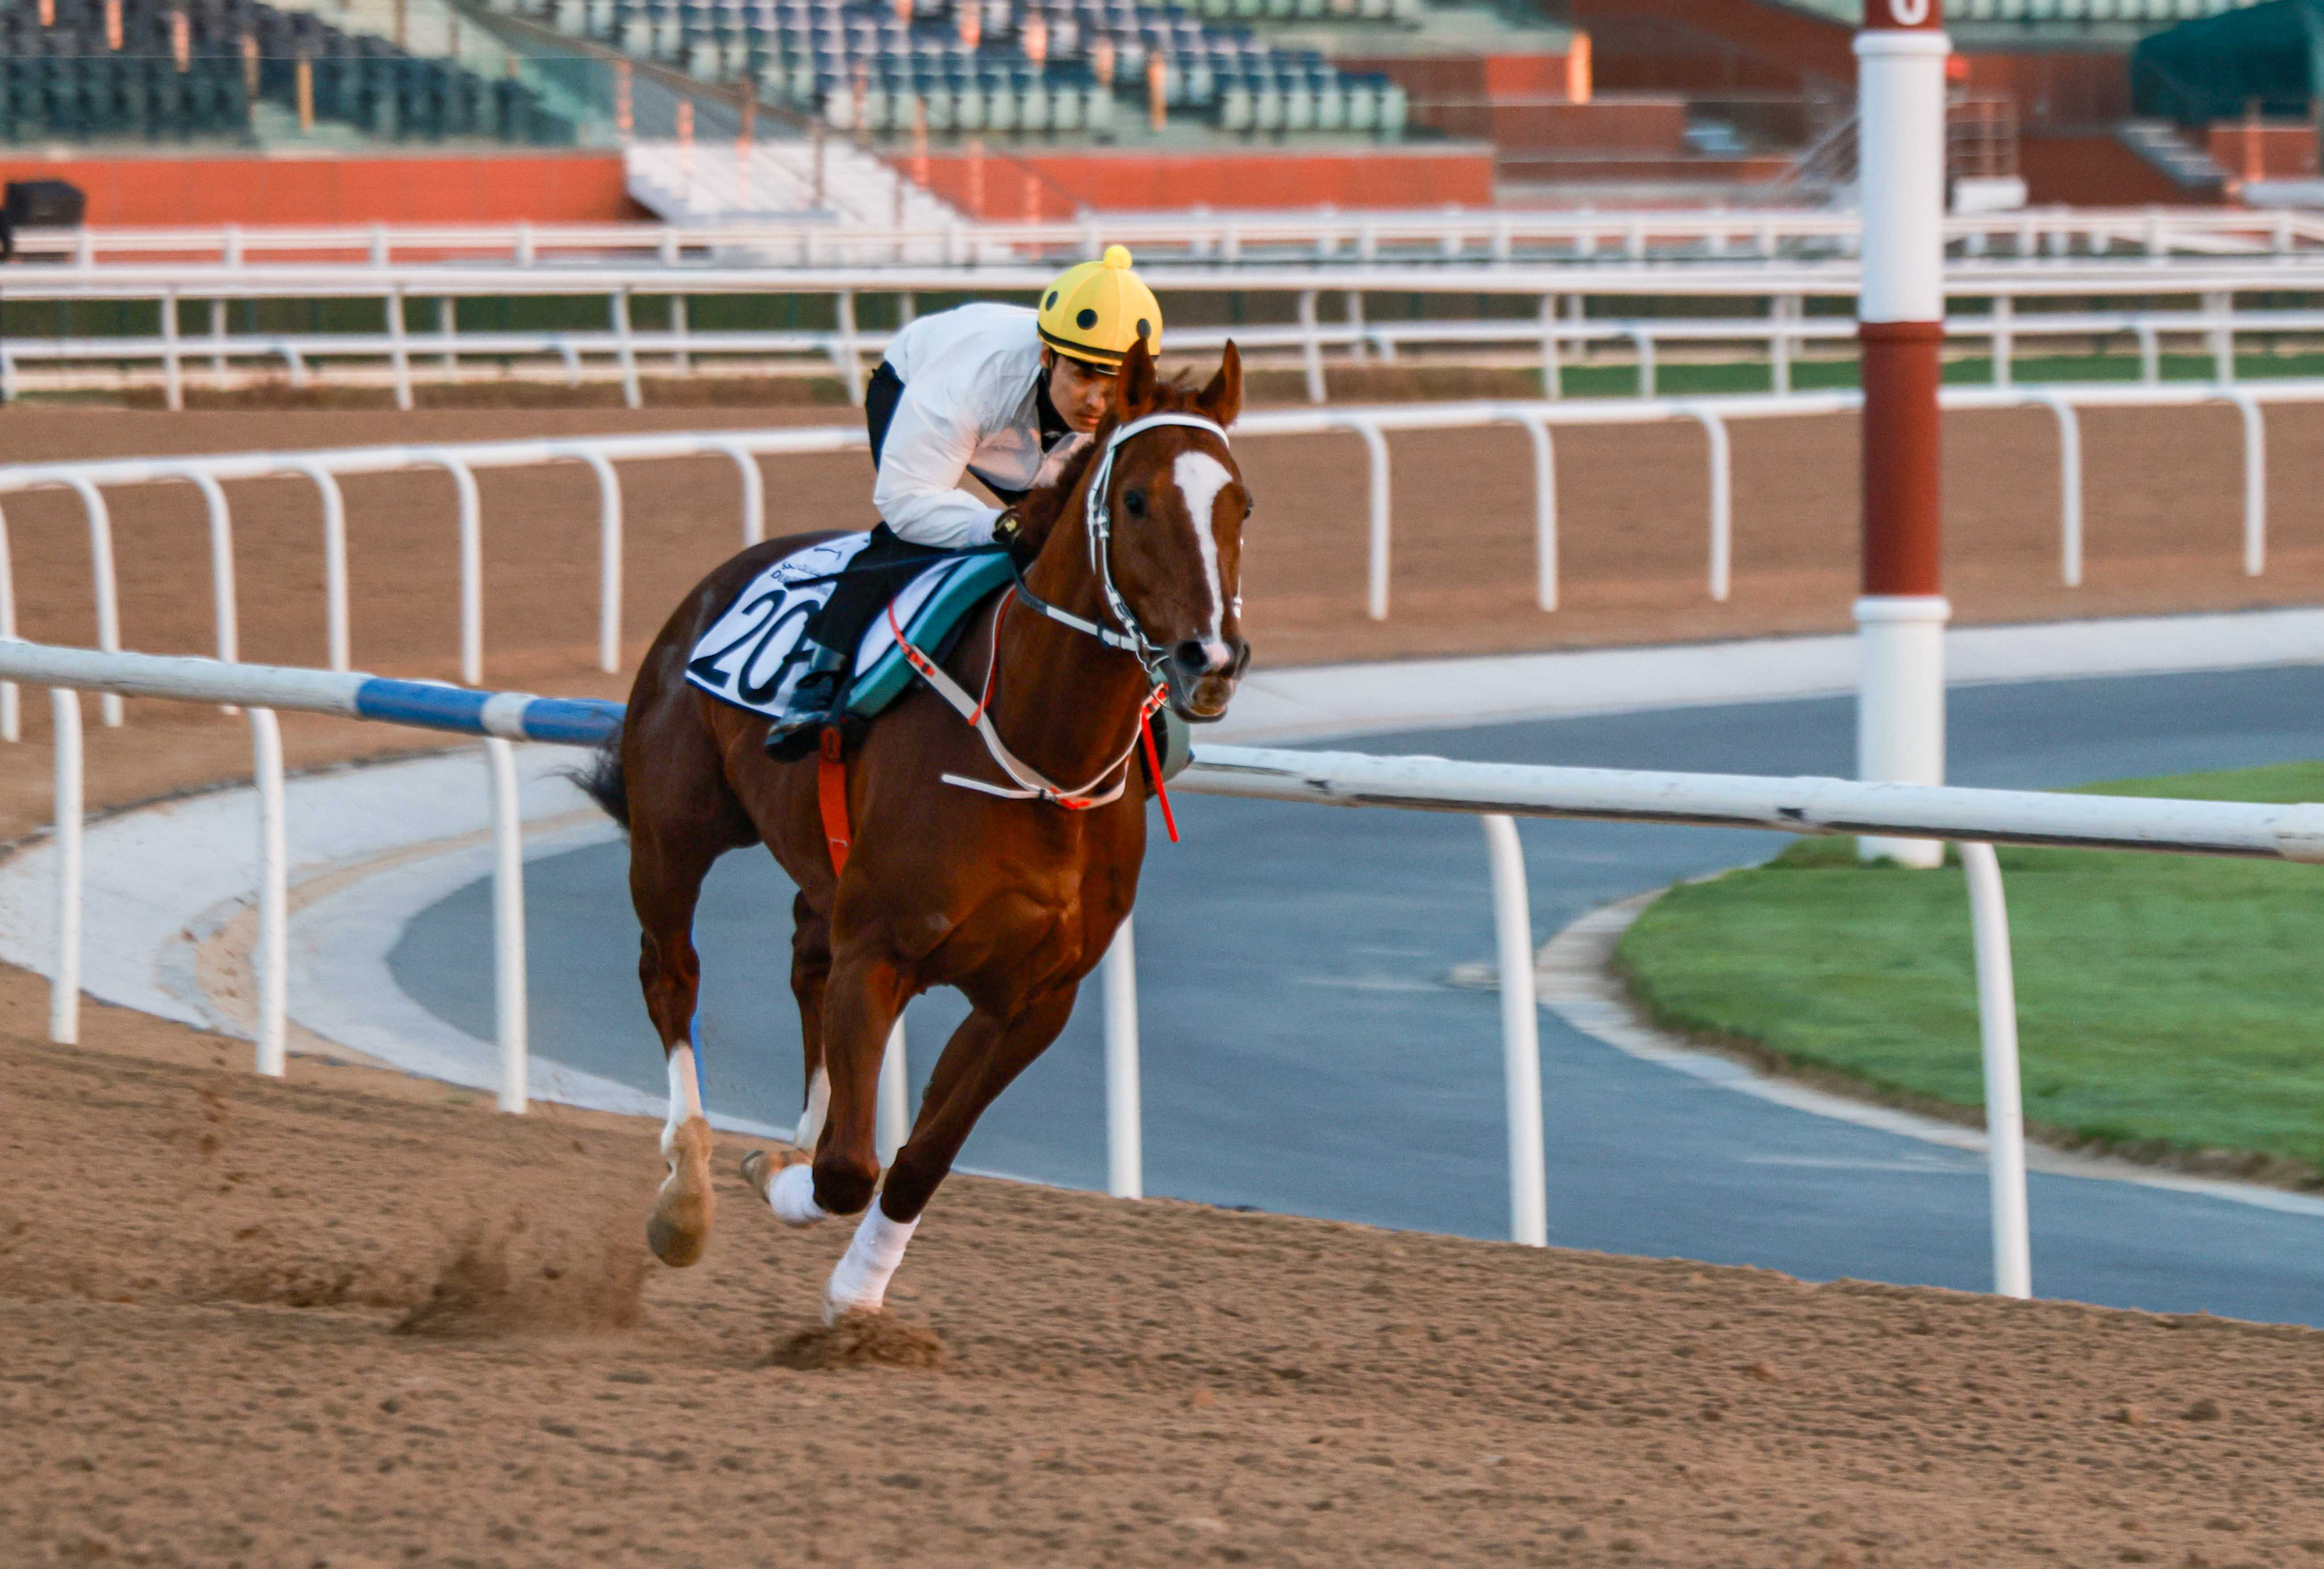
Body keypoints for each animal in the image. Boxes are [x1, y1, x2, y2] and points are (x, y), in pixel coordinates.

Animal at [581, 344, 1255, 1329]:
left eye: (1241, 504)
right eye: (1135, 500)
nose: (1212, 659)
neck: (1039, 754)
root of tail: (721, 579)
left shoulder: (1033, 1000)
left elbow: (916, 1162)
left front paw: (855, 1296)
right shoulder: (883, 951)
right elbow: (847, 1168)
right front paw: (775, 1177)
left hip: (820, 868)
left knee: (803, 959)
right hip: (674, 833)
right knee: (671, 976)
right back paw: (687, 1194)